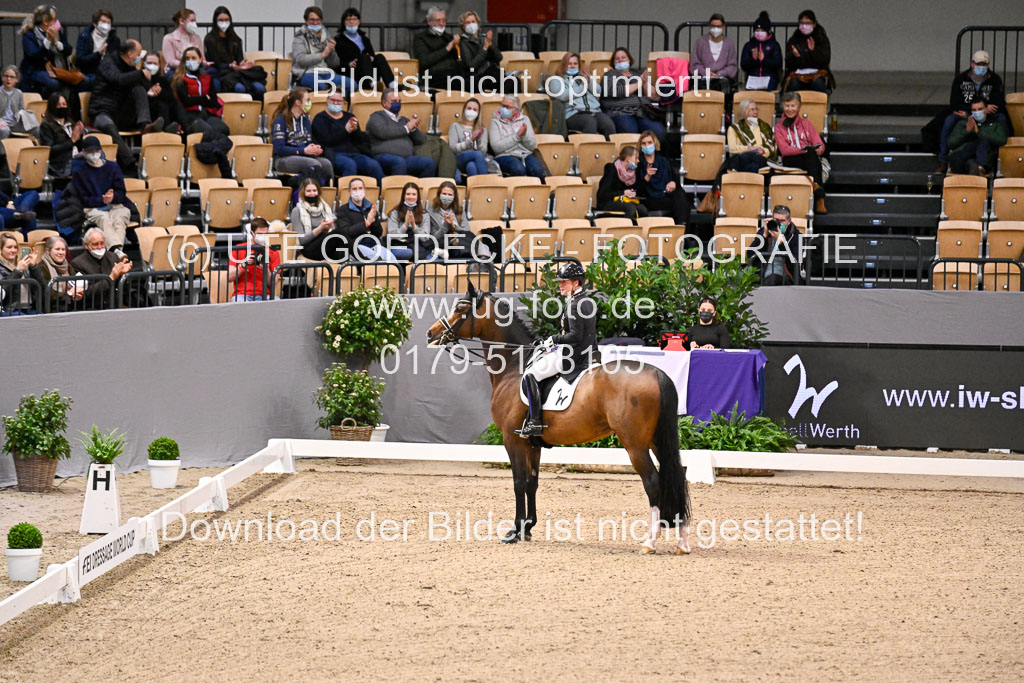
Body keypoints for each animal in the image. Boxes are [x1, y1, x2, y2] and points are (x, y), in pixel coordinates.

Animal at [426, 283, 692, 554]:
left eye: (460, 308)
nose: (431, 333)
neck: (514, 367)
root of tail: (657, 372)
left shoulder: (512, 440)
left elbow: (518, 482)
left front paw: (514, 531)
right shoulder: (532, 444)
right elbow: (532, 482)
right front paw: (527, 529)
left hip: (635, 445)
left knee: (653, 482)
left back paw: (649, 542)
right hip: (657, 440)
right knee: (677, 477)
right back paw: (682, 543)